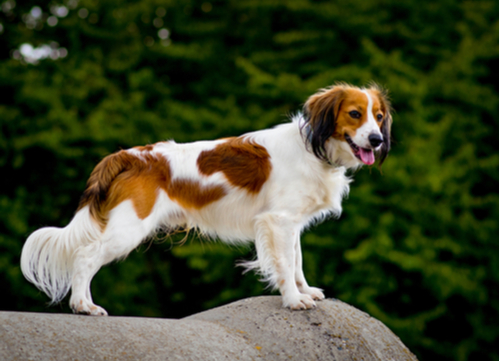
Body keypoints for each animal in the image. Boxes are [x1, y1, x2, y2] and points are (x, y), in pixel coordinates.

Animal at [21, 83, 392, 314]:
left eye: (379, 117)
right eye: (355, 114)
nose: (376, 139)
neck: (315, 151)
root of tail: (128, 155)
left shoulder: (290, 224)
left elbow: (297, 262)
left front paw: (305, 291)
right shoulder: (280, 221)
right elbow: (287, 265)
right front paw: (293, 300)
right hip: (128, 228)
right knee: (85, 257)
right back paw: (83, 305)